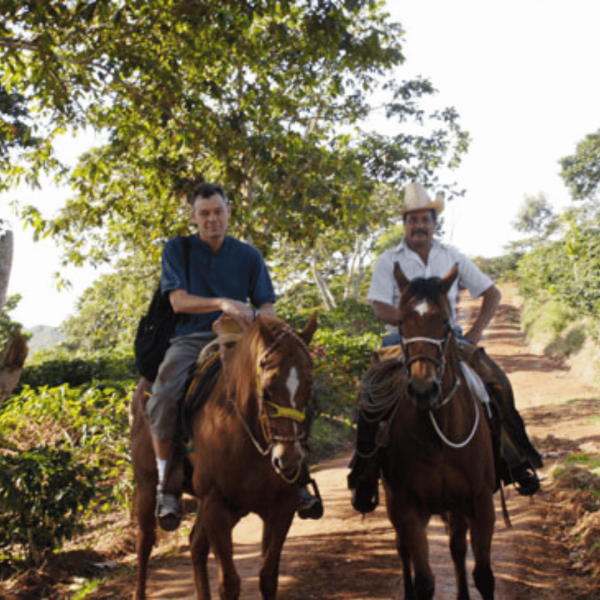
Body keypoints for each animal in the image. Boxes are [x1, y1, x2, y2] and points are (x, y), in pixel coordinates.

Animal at [131, 314, 318, 600]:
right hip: (146, 485)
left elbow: (268, 576)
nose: (288, 461)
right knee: (145, 542)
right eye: (268, 388)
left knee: (195, 543)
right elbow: (229, 583)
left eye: (309, 387)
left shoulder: (281, 506)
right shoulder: (215, 504)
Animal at [372, 264, 494, 596]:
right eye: (401, 323)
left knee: (457, 549)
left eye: (444, 322)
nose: (423, 389)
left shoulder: (480, 502)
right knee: (404, 551)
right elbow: (425, 581)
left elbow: (483, 575)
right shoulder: (407, 507)